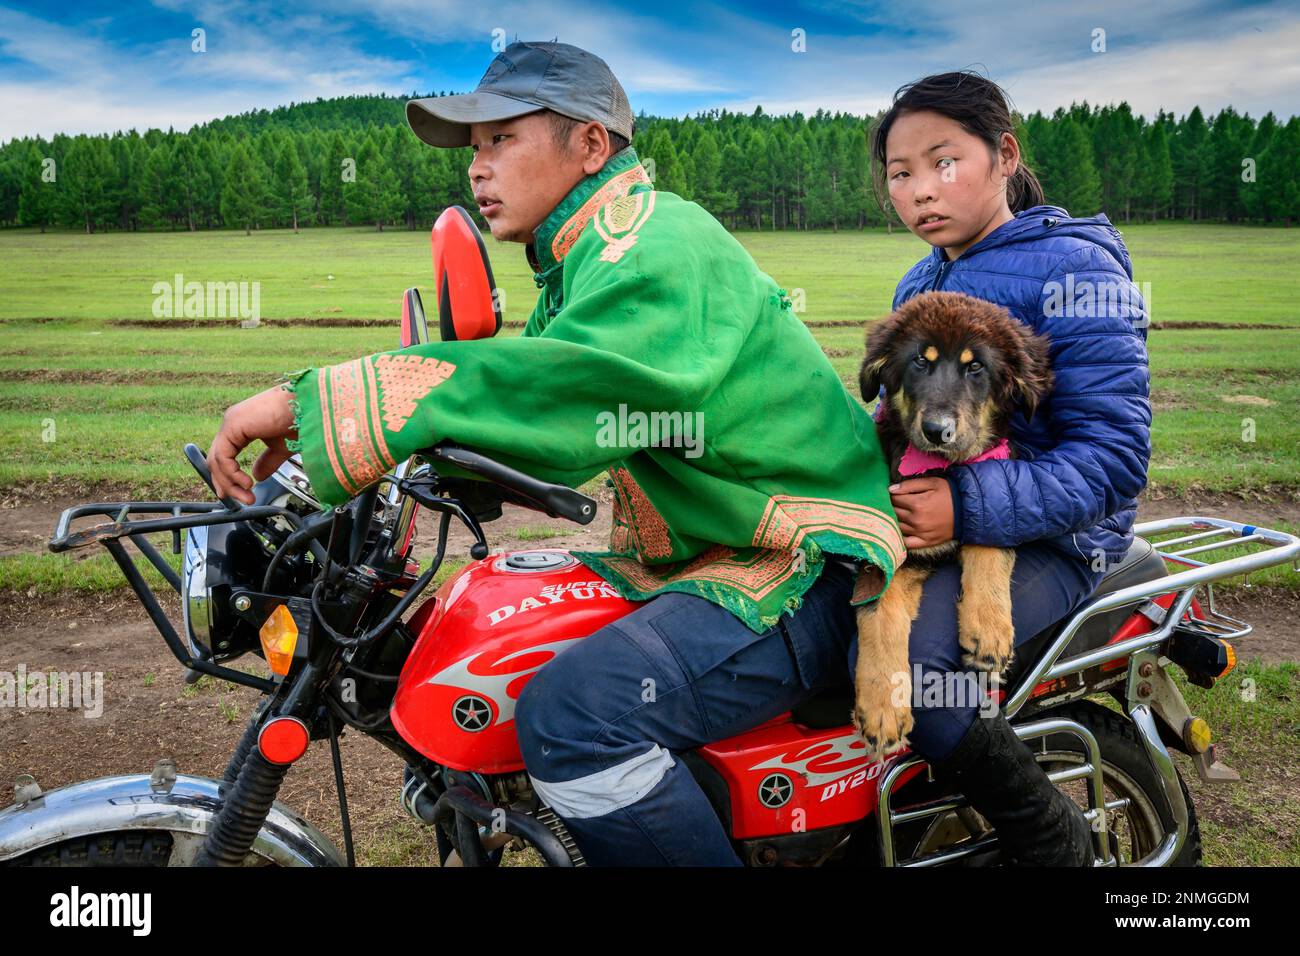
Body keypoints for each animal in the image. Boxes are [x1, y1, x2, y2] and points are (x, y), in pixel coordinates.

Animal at [852, 291, 1055, 754]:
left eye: (975, 366)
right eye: (919, 362)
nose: (936, 430)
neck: (942, 471)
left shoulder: (992, 487)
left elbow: (989, 543)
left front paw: (989, 628)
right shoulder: (887, 550)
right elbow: (879, 614)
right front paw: (883, 706)